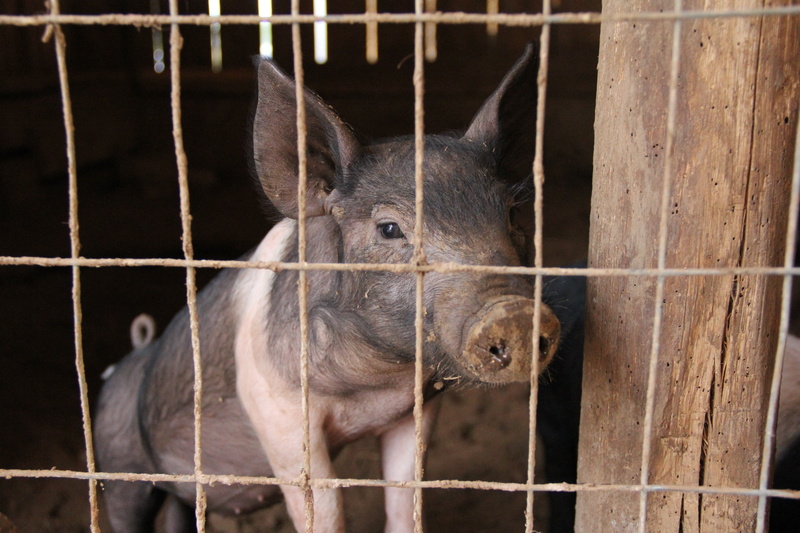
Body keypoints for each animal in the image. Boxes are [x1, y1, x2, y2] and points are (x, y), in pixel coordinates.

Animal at [94, 43, 564, 533]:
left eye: (512, 214)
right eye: (389, 228)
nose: (513, 312)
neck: (376, 385)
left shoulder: (415, 411)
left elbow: (406, 495)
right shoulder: (275, 407)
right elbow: (323, 504)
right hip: (120, 469)